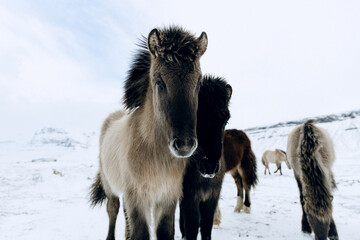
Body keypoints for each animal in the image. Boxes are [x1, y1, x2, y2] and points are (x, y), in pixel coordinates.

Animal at [90, 26, 208, 240]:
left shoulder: (167, 198)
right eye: (159, 82)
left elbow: (164, 232)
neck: (154, 153)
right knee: (113, 210)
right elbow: (140, 234)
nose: (185, 145)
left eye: (199, 83)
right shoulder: (138, 198)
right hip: (110, 186)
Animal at [179, 75, 232, 240]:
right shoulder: (190, 198)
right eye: (196, 116)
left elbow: (206, 226)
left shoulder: (211, 198)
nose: (209, 167)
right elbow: (192, 227)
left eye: (226, 119)